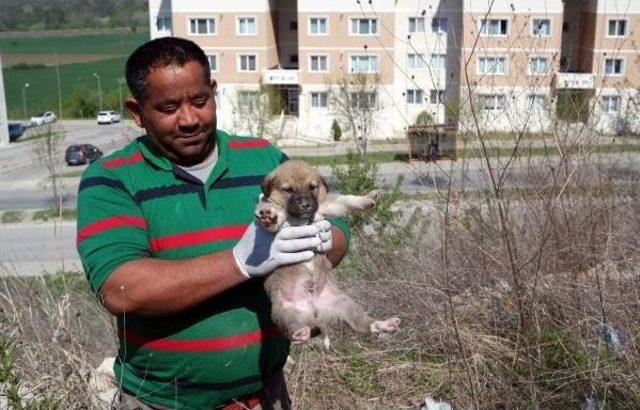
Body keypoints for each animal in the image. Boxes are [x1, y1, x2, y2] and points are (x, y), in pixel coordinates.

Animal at [256, 159, 400, 346]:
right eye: (288, 190)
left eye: (312, 187)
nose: (305, 205)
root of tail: (315, 311)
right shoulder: (275, 228)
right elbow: (272, 215)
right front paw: (269, 213)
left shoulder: (328, 204)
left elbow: (347, 200)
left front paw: (367, 198)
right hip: (284, 312)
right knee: (293, 329)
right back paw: (300, 334)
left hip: (345, 304)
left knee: (363, 323)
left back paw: (383, 324)